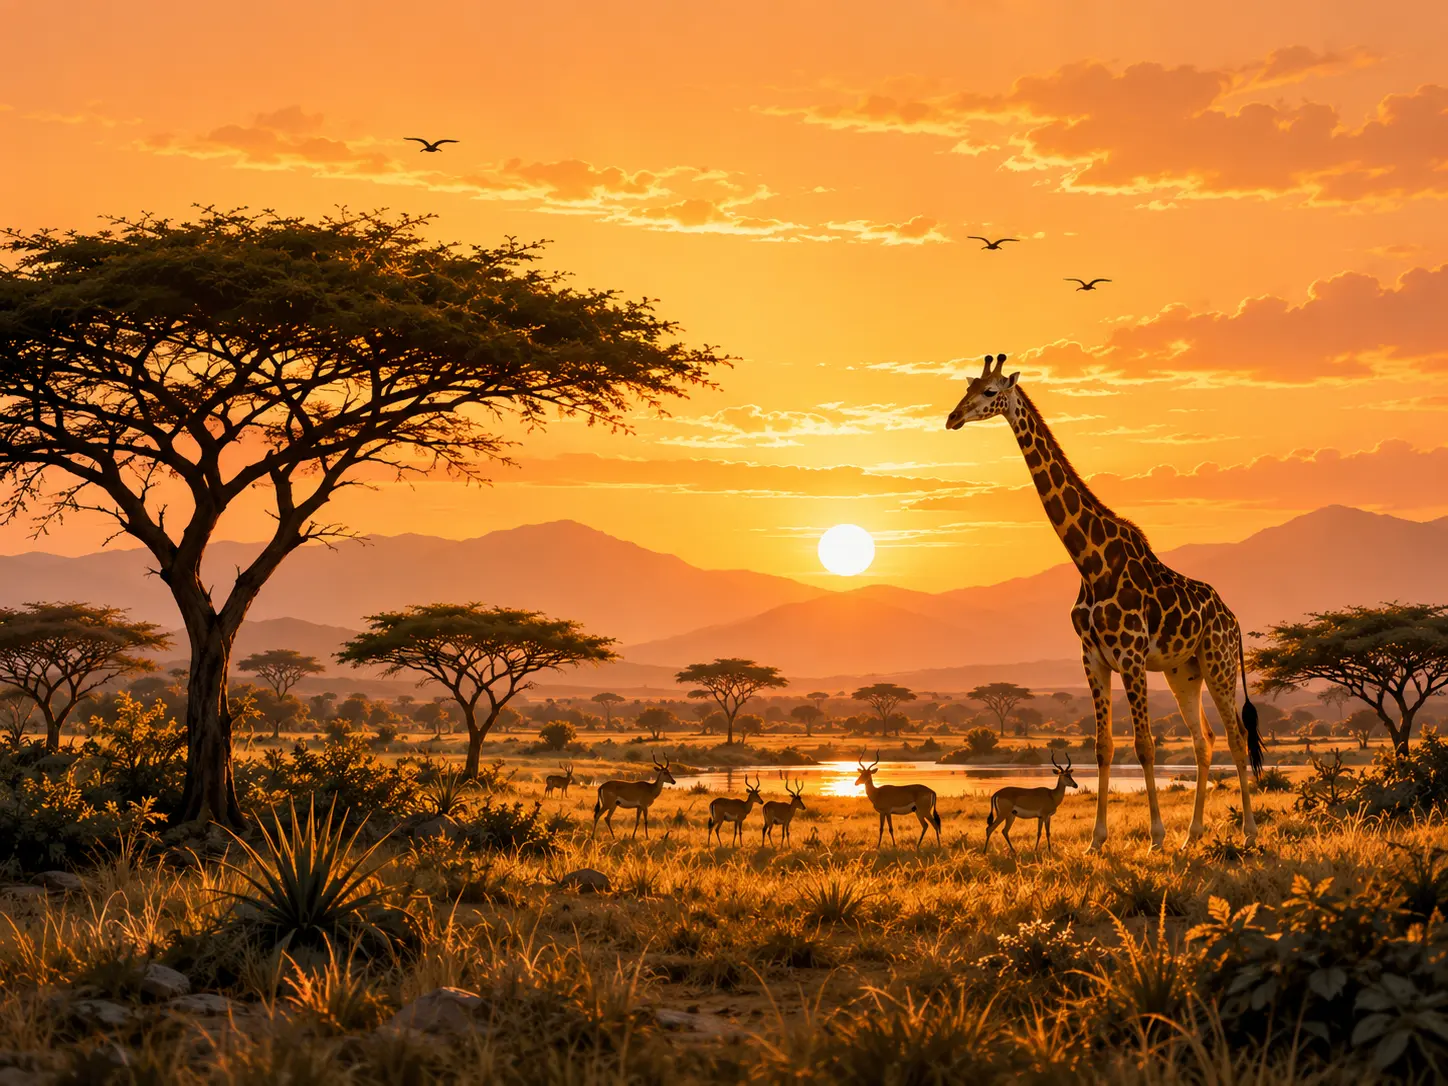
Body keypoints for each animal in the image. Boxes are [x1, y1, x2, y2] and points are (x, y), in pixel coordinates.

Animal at [945, 354, 1263, 851]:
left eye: (990, 391)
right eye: (968, 387)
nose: (952, 418)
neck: (1090, 562)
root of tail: (1233, 620)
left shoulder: (1130, 655)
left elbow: (1145, 745)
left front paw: (1155, 837)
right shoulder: (1093, 657)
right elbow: (1103, 747)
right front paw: (1097, 840)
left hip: (1219, 662)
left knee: (1234, 737)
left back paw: (1247, 833)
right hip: (1184, 671)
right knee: (1204, 741)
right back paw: (1192, 836)